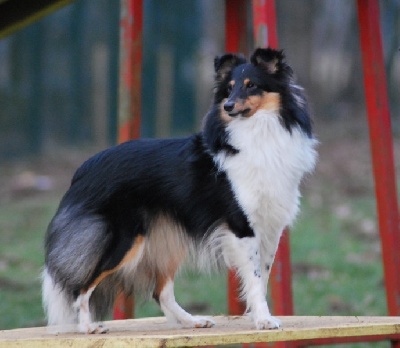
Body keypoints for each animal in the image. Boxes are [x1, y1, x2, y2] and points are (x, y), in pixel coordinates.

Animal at [42, 47, 318, 334]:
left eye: (251, 85)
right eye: (229, 88)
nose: (228, 106)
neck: (259, 130)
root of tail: (83, 169)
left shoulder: (270, 228)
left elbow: (261, 277)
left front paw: (258, 316)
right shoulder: (242, 226)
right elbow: (254, 278)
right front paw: (264, 319)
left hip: (166, 239)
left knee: (160, 291)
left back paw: (192, 320)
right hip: (123, 240)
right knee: (81, 286)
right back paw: (88, 327)